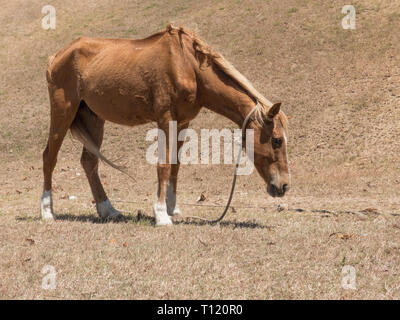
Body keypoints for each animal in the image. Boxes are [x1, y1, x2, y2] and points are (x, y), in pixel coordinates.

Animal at [40, 24, 290, 225]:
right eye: (277, 141)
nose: (284, 186)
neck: (189, 67)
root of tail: (57, 56)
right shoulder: (165, 119)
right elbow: (163, 165)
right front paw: (161, 214)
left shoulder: (182, 123)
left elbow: (175, 165)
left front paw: (171, 208)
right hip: (62, 113)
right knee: (49, 157)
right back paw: (47, 211)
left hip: (94, 119)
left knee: (89, 162)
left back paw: (108, 210)